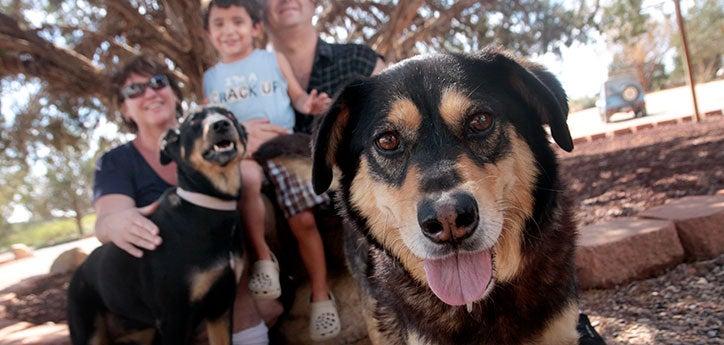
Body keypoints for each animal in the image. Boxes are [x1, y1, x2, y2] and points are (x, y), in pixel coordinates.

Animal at [68, 106, 249, 342]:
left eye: (229, 115)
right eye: (193, 123)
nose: (221, 125)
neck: (209, 204)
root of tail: (78, 272)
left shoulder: (221, 307)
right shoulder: (174, 317)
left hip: (143, 333)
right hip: (89, 332)